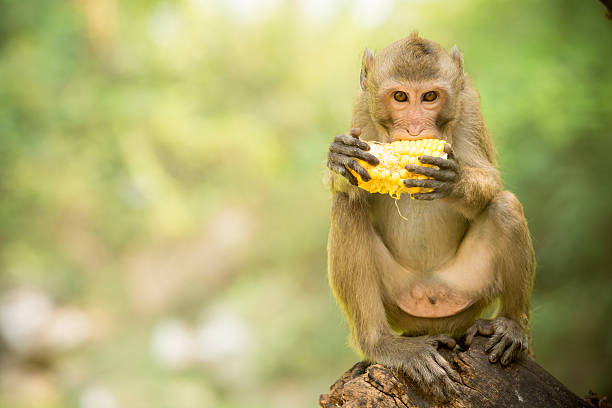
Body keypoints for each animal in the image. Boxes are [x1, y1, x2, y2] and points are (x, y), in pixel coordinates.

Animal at [326, 33, 536, 400]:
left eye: (430, 97)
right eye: (400, 96)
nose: (414, 129)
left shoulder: (469, 102)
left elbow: (491, 181)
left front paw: (452, 179)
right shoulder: (361, 105)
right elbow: (348, 190)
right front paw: (341, 157)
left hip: (468, 289)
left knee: (506, 206)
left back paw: (510, 326)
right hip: (398, 300)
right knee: (345, 208)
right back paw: (384, 345)